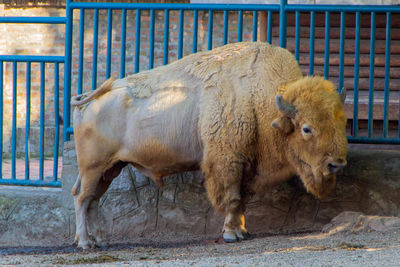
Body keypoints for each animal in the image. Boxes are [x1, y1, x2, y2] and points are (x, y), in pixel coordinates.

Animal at [71, 41, 346, 249]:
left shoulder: (246, 166)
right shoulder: (228, 162)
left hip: (110, 169)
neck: (260, 99)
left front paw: (242, 231)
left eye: (341, 122)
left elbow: (243, 200)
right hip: (93, 168)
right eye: (306, 128)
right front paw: (231, 234)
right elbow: (232, 199)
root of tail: (89, 99)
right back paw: (85, 243)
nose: (337, 164)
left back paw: (101, 241)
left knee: (94, 200)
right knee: (83, 198)